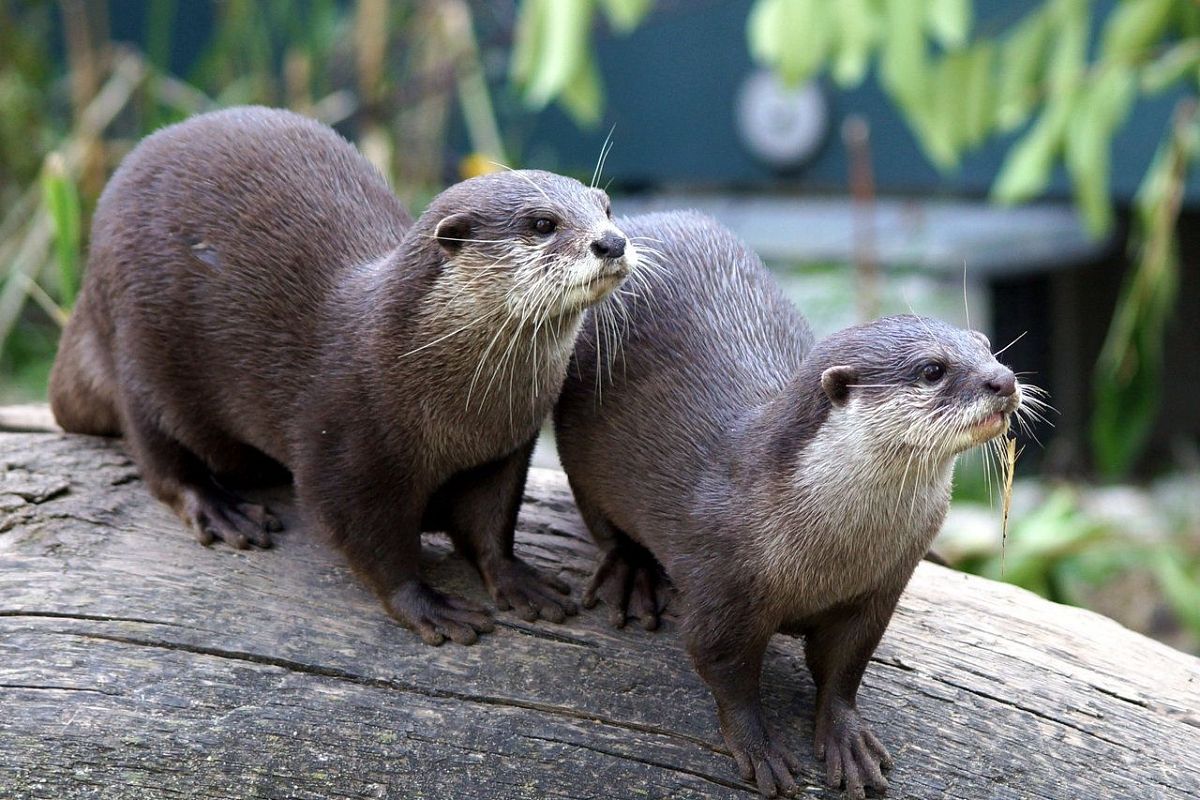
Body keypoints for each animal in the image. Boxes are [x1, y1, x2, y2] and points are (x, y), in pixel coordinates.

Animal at [54, 104, 638, 642]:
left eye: (607, 208)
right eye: (542, 224)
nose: (612, 241)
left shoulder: (503, 452)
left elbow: (489, 524)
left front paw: (518, 580)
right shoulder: (344, 440)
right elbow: (369, 540)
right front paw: (427, 605)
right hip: (140, 343)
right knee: (159, 454)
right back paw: (221, 509)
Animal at [552, 212, 1032, 800]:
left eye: (985, 345)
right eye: (932, 370)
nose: (1003, 380)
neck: (833, 553)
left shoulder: (878, 589)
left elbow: (845, 667)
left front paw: (846, 737)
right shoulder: (721, 583)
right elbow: (722, 668)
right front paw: (759, 747)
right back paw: (631, 572)